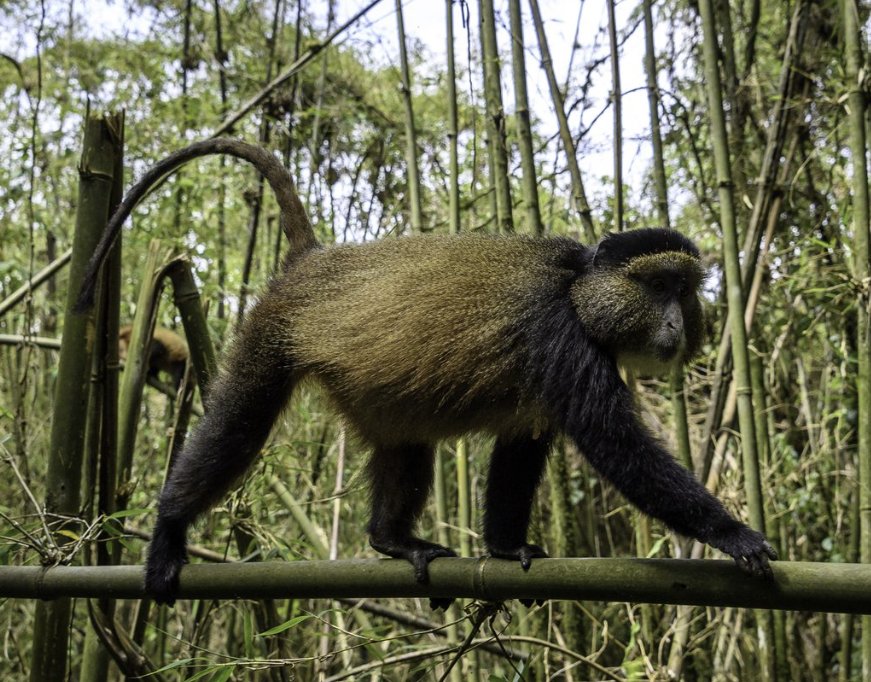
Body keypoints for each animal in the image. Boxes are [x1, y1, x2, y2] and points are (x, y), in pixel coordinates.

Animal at [75, 140, 776, 606]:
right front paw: (734, 534)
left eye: (684, 291)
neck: (580, 290)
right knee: (236, 428)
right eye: (657, 285)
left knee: (406, 446)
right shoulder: (558, 336)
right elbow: (617, 446)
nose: (676, 323)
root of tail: (313, 262)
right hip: (269, 337)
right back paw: (169, 529)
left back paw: (392, 541)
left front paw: (505, 549)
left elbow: (521, 451)